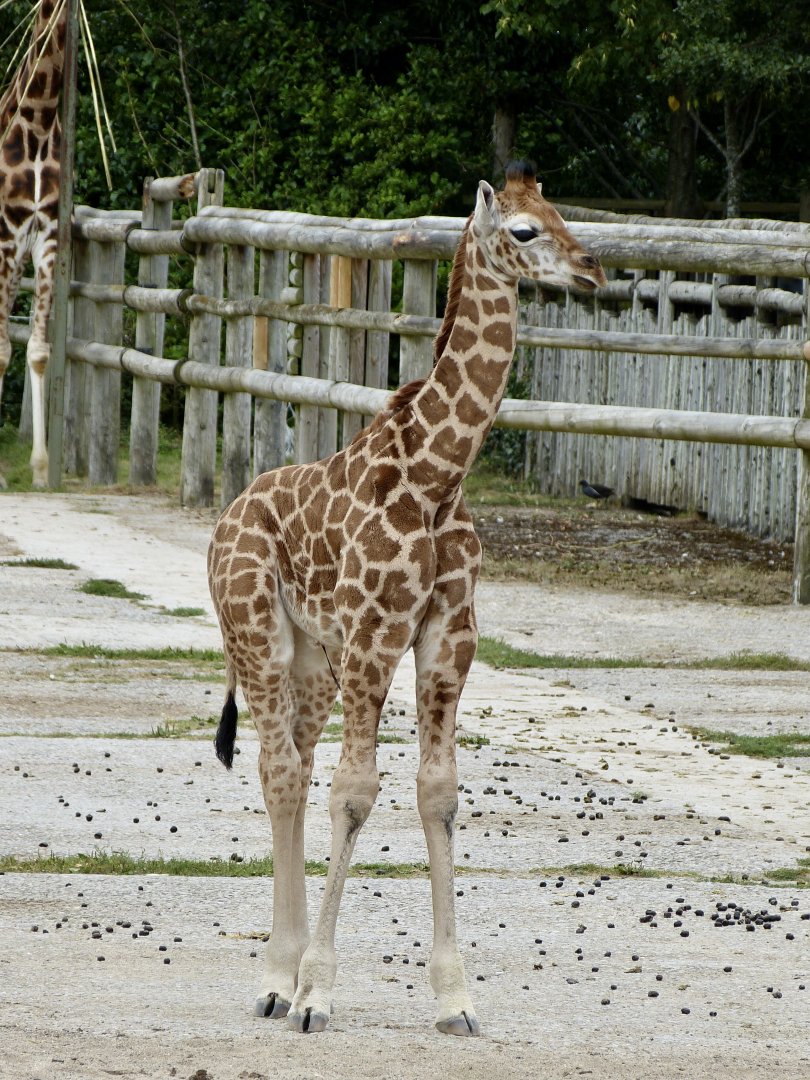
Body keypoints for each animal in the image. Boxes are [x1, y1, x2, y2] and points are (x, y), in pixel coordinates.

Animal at [208, 161, 607, 1036]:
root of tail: (223, 520)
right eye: (523, 230)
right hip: (256, 635)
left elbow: (438, 793)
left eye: (563, 213)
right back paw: (277, 979)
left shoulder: (449, 636)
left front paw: (455, 997)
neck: (436, 476)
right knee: (282, 769)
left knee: (291, 765)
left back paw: (281, 972)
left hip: (314, 659)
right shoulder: (375, 633)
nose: (591, 269)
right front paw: (318, 994)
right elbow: (356, 794)